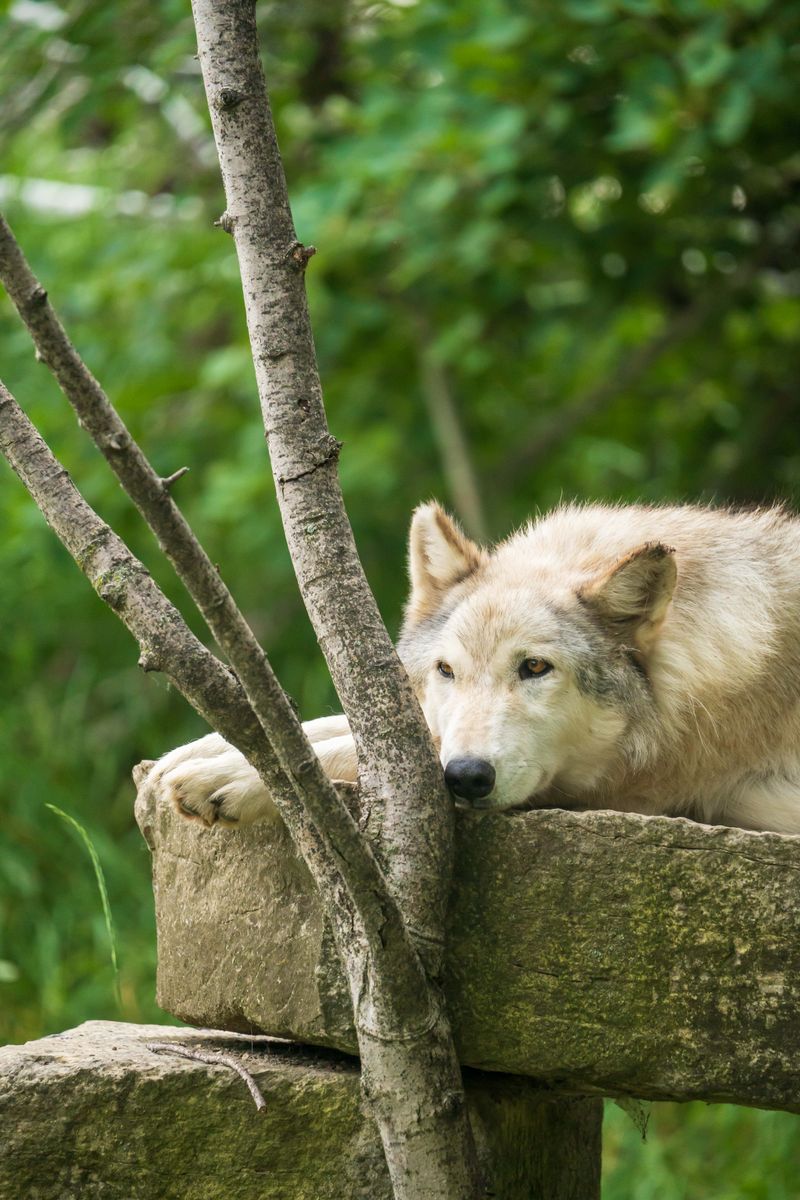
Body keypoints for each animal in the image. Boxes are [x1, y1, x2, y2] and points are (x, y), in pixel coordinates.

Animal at [152, 501, 800, 835]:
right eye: (446, 671)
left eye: (535, 667)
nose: (464, 779)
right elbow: (352, 728)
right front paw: (200, 751)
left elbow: (367, 754)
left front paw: (227, 778)